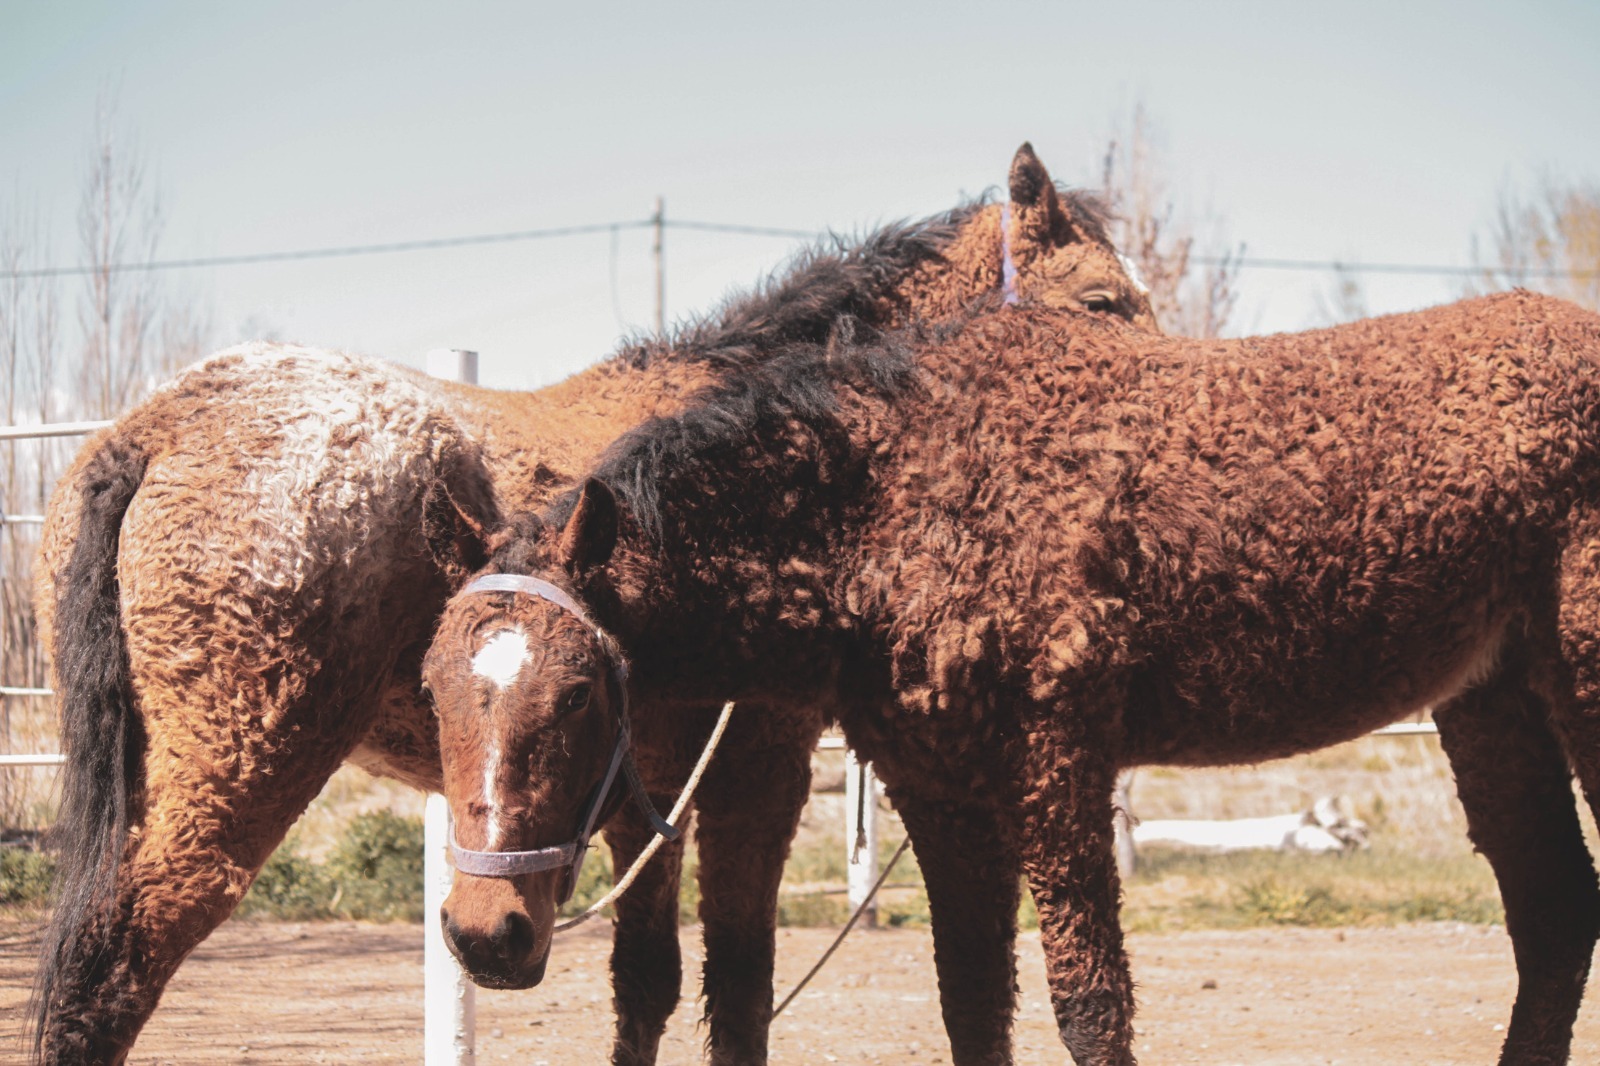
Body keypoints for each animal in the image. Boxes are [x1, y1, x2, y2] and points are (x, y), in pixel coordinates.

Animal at [28, 143, 1152, 1062]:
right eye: (1104, 302)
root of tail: (160, 426)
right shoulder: (752, 773)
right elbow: (736, 986)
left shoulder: (640, 793)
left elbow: (649, 984)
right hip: (231, 779)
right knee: (110, 971)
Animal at [419, 291, 1600, 1062]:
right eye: (431, 689)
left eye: (580, 693)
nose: (483, 935)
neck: (898, 496)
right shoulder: (942, 787)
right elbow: (973, 1002)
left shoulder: (1055, 762)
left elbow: (1089, 1005)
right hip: (1493, 702)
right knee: (1554, 918)